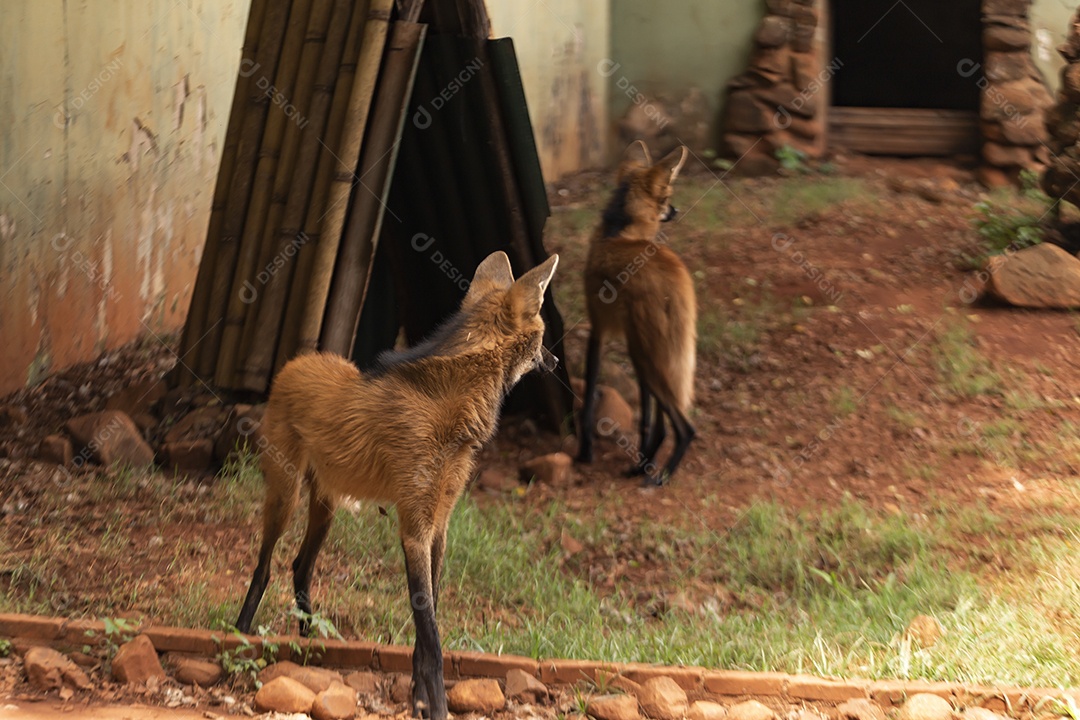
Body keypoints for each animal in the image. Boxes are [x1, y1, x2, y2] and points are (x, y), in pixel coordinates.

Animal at [235, 252, 557, 720]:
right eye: (543, 333)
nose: (554, 360)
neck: (454, 415)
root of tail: (297, 362)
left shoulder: (439, 526)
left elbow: (428, 626)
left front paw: (419, 699)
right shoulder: (415, 526)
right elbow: (432, 639)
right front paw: (435, 707)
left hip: (327, 506)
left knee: (300, 565)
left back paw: (309, 643)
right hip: (286, 496)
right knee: (264, 567)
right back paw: (238, 634)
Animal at [578, 141, 695, 487]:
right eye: (666, 199)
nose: (675, 210)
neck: (619, 233)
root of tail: (677, 275)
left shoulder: (598, 329)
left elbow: (589, 397)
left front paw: (584, 451)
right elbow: (646, 417)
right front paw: (642, 457)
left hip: (644, 354)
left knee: (686, 427)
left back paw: (662, 476)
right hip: (649, 353)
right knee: (665, 420)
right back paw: (644, 467)